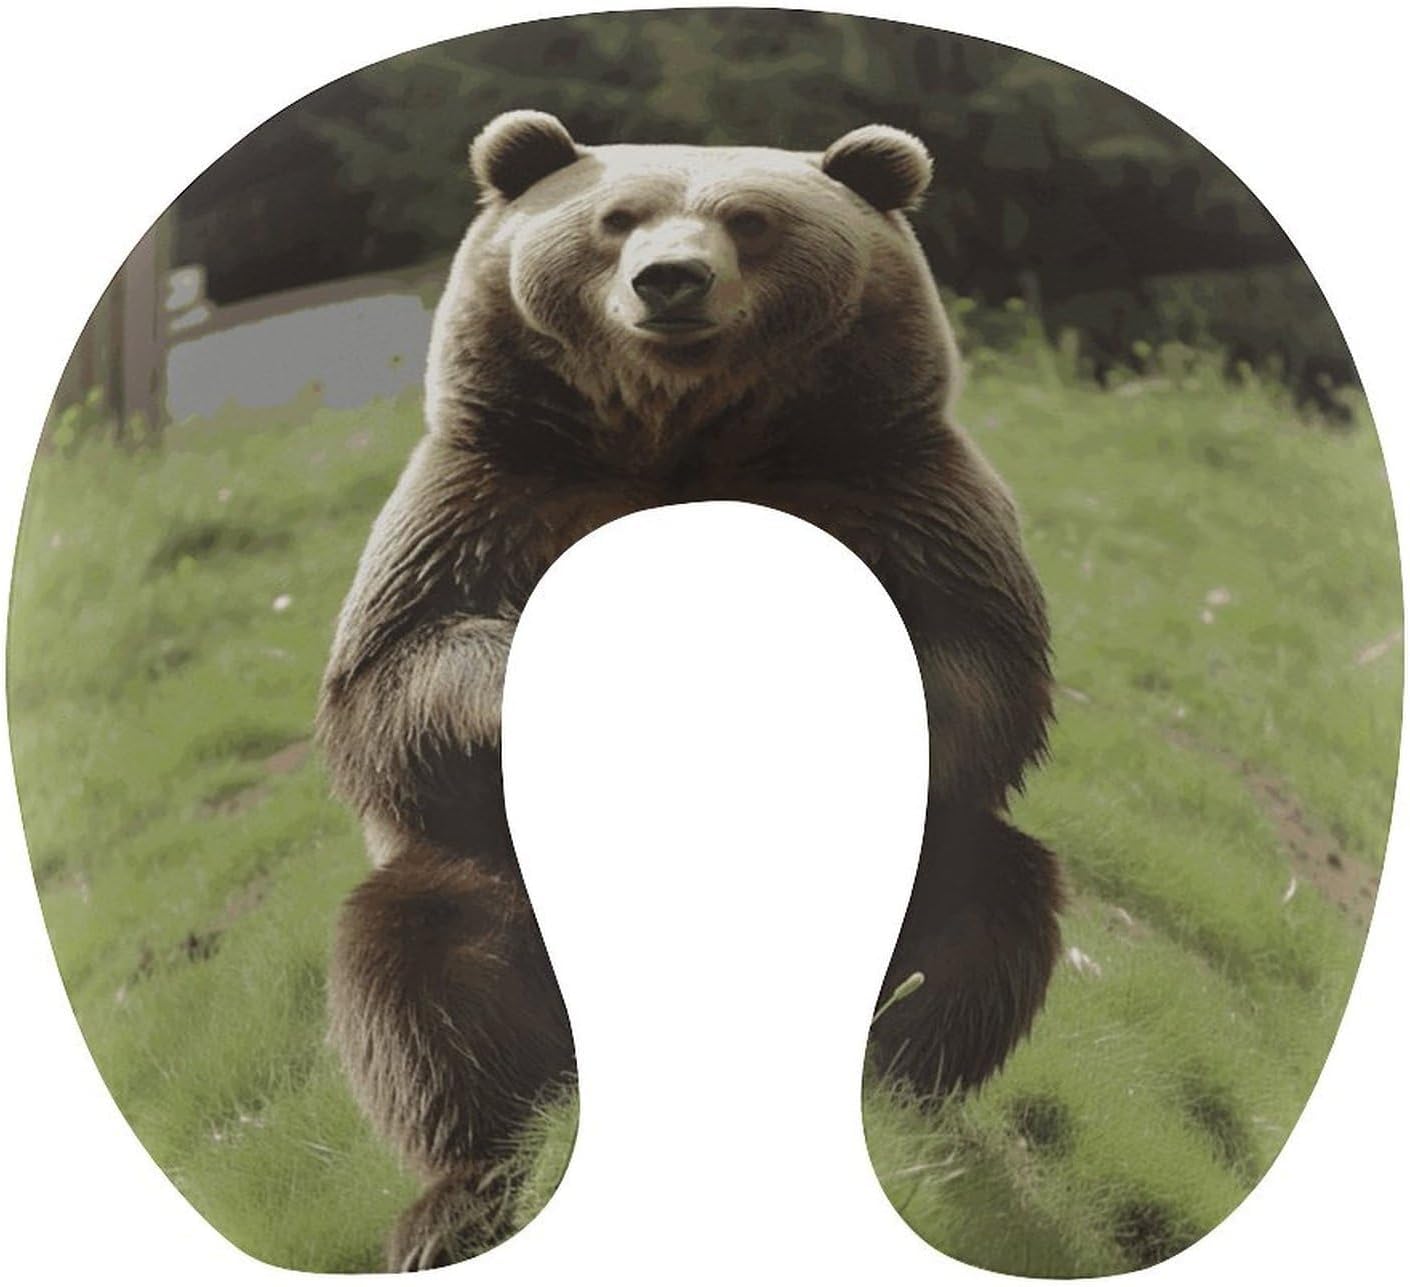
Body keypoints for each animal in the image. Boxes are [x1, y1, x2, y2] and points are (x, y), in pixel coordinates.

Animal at [317, 109, 1063, 1271]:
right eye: (617, 217)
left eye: (749, 219)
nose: (671, 280)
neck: (682, 436)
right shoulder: (495, 493)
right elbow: (393, 680)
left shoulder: (894, 489)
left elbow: (980, 672)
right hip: (511, 902)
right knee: (426, 970)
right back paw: (460, 1199)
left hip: (904, 885)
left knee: (976, 923)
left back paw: (887, 1111)